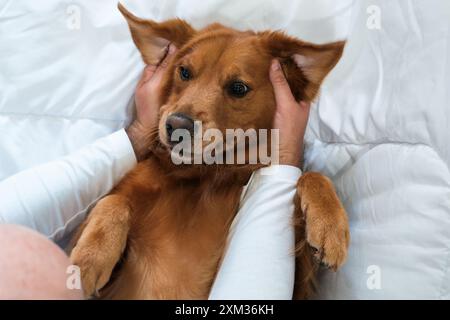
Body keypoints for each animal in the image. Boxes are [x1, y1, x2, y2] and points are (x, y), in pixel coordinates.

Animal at [71, 3, 352, 300]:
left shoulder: (299, 279)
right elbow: (114, 200)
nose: (176, 126)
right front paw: (91, 257)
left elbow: (311, 175)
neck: (207, 174)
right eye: (184, 71)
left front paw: (330, 226)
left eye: (238, 87)